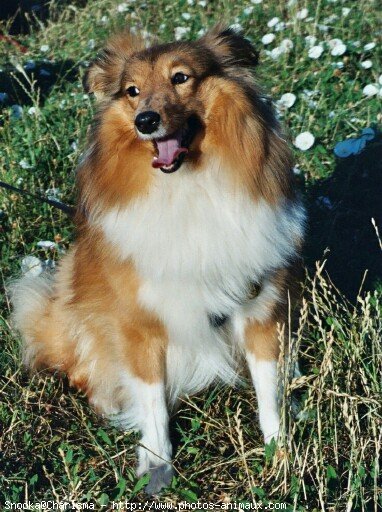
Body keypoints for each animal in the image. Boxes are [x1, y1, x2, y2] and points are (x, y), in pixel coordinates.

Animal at [10, 26, 306, 494]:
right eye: (132, 91)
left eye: (181, 77)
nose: (145, 121)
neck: (187, 186)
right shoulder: (138, 322)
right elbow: (151, 399)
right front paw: (156, 466)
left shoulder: (259, 309)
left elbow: (268, 390)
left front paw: (281, 455)